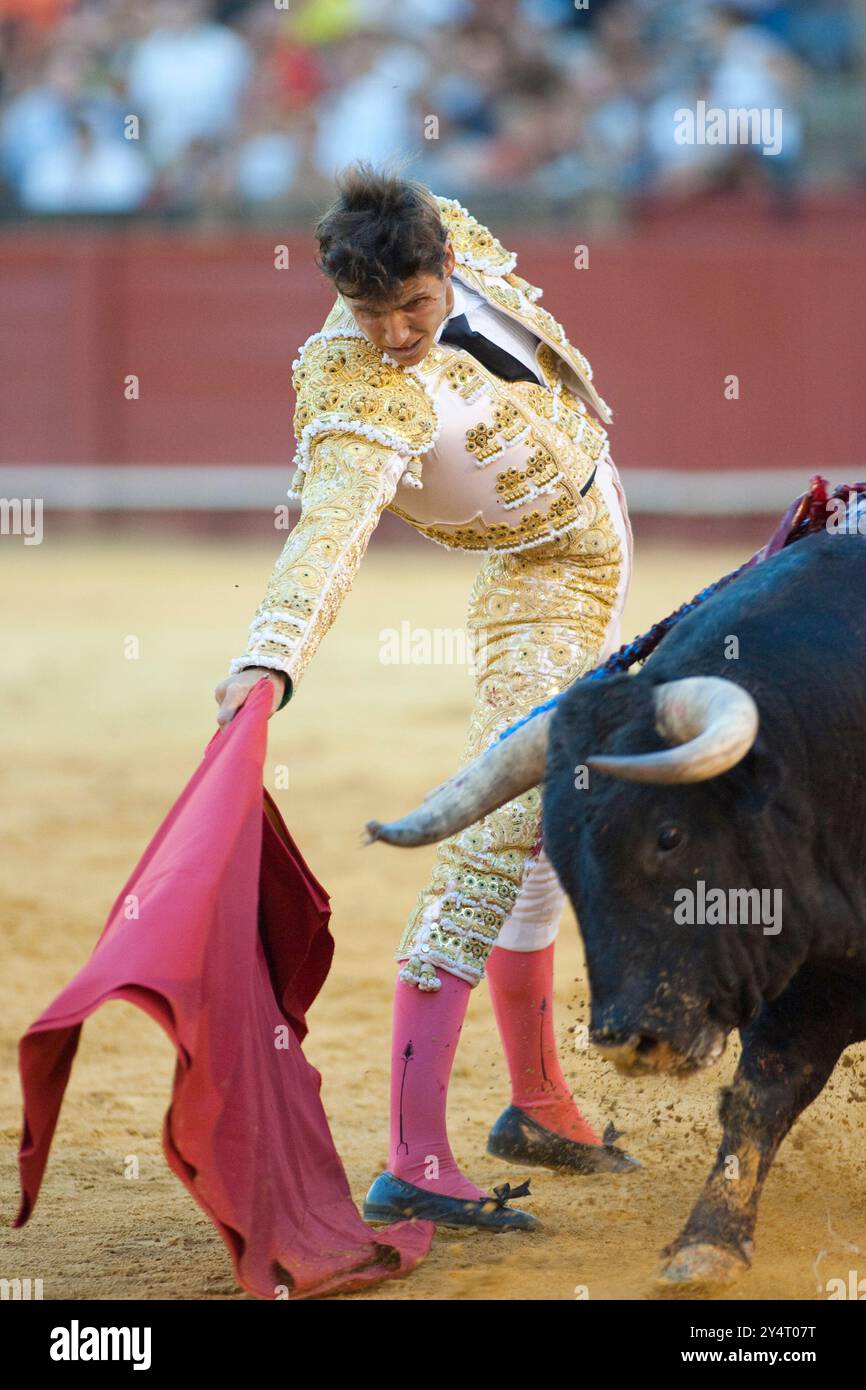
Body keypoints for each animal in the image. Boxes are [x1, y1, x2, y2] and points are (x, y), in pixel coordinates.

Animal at [369, 530, 866, 1289]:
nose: (629, 1038)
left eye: (669, 835)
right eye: (563, 856)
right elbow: (763, 1092)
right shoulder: (806, 969)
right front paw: (707, 1244)